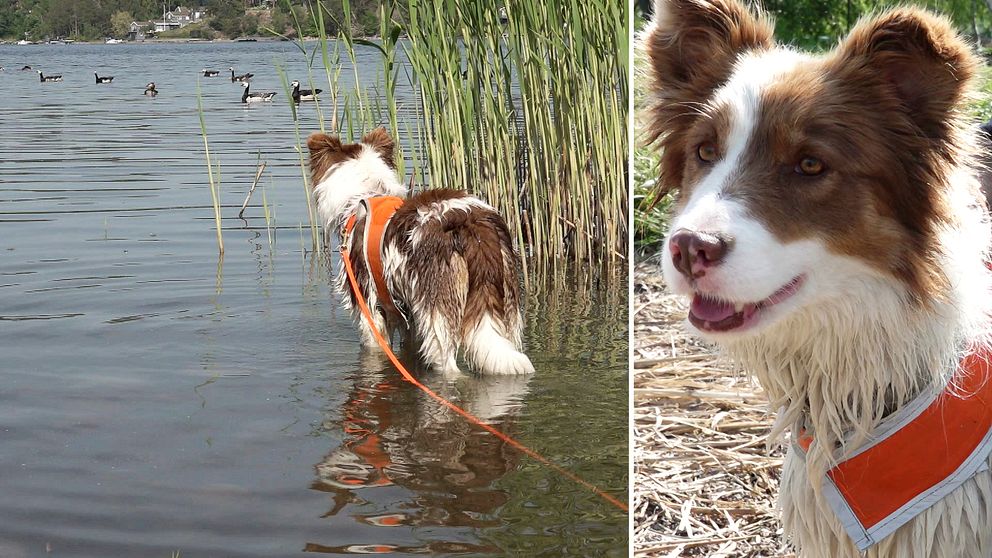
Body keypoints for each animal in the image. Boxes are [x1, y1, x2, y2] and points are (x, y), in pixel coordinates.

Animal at [306, 129, 536, 378]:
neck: (369, 192)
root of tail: (470, 221)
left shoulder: (369, 306)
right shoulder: (408, 314)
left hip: (438, 315)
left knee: (448, 366)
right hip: (506, 304)